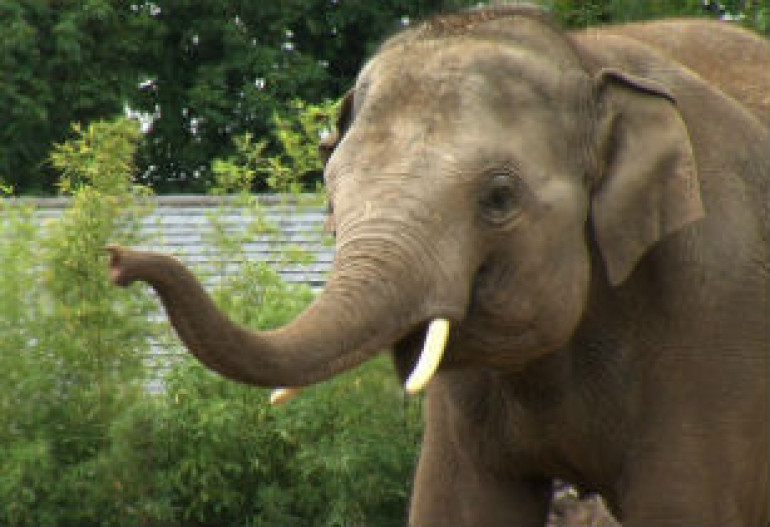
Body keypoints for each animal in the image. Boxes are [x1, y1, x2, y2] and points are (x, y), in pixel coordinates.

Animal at [108, 6, 768, 526]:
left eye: (499, 197)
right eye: (331, 200)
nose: (117, 260)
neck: (586, 58)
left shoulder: (716, 299)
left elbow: (684, 507)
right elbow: (457, 507)